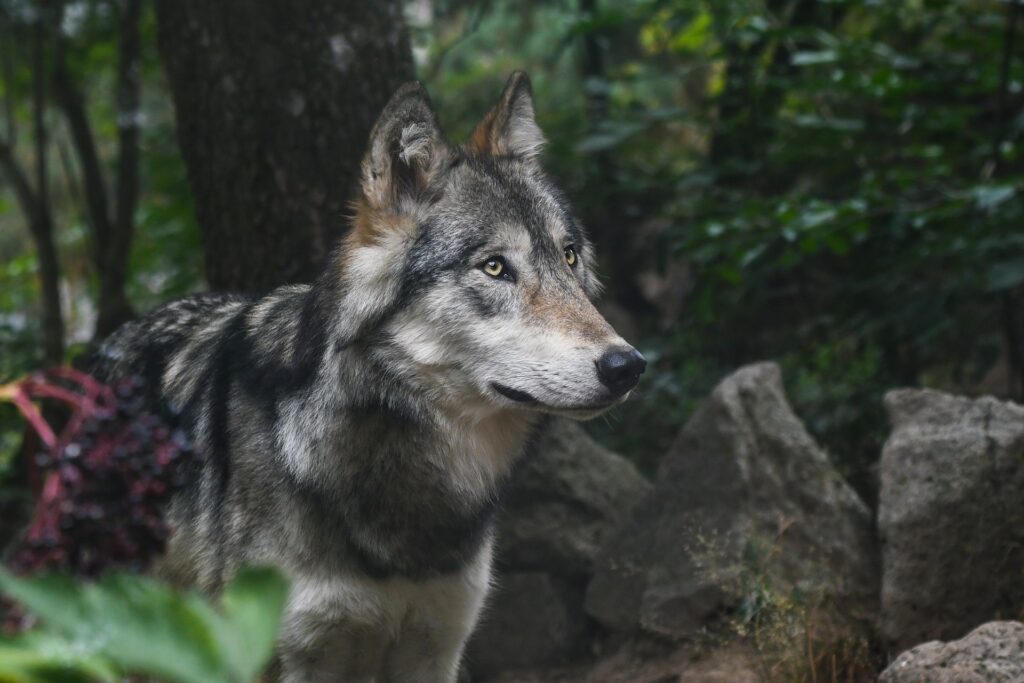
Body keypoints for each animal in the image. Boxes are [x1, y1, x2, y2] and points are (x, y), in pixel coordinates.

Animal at [94, 72, 638, 679]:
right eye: (495, 266)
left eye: (568, 257)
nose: (627, 366)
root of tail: (112, 342)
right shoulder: (290, 654)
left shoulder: (435, 647)